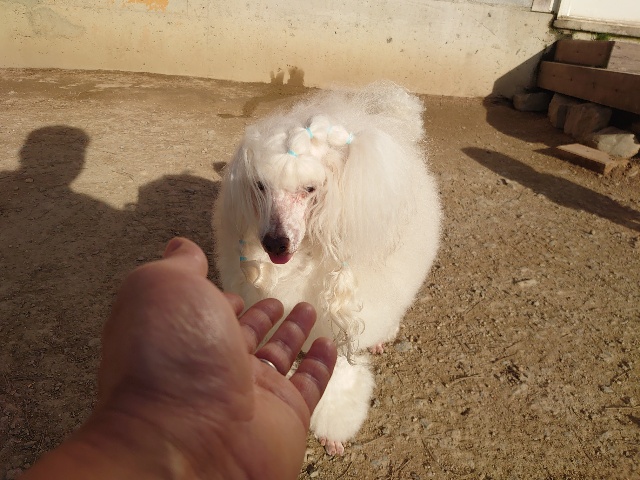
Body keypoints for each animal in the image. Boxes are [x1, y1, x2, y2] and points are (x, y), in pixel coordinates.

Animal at [213, 81, 441, 455]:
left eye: (309, 189)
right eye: (261, 186)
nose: (275, 243)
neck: (309, 252)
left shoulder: (341, 324)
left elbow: (341, 378)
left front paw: (333, 430)